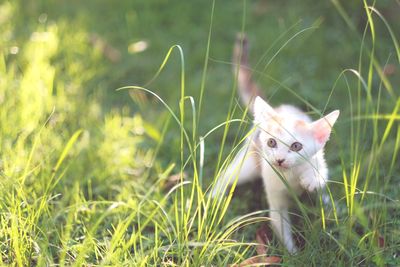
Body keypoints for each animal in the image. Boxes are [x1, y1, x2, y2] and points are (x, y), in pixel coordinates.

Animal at [211, 34, 340, 254]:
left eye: (296, 146)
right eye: (271, 142)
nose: (279, 159)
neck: (290, 177)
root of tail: (278, 108)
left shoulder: (318, 160)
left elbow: (321, 174)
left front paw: (310, 180)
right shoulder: (275, 194)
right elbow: (280, 223)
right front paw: (292, 253)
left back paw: (329, 204)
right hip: (249, 162)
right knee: (227, 175)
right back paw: (213, 196)